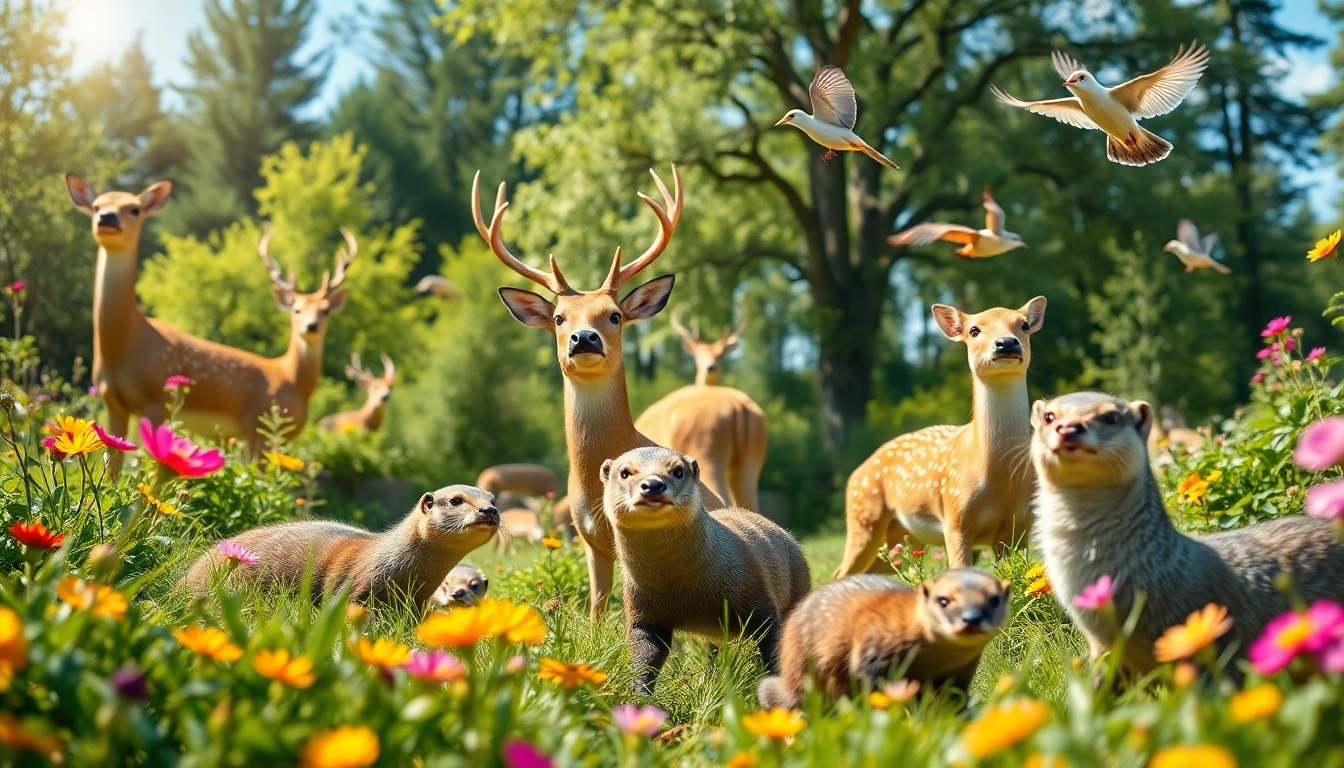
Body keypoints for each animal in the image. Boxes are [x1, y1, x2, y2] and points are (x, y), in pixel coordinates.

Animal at [66, 174, 355, 473]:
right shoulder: (118, 402)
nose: (107, 217)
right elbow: (115, 470)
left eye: (135, 209)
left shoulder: (155, 400)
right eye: (97, 206)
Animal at [600, 447, 810, 695]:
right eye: (625, 472)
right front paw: (640, 694)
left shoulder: (759, 602)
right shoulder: (643, 614)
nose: (653, 484)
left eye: (678, 471)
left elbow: (773, 644)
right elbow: (644, 657)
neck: (680, 589)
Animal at [634, 307, 768, 511]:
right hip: (750, 464)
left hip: (705, 451)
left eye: (721, 354)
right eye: (698, 355)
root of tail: (738, 406)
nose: (710, 367)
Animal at [834, 297, 1047, 577]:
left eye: (1024, 325)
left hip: (900, 534)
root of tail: (854, 476)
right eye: (974, 330)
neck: (1001, 477)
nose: (1006, 342)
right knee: (840, 572)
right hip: (863, 515)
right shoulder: (955, 516)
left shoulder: (1021, 526)